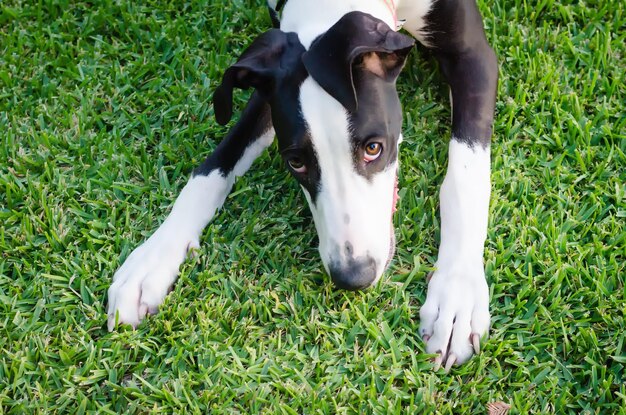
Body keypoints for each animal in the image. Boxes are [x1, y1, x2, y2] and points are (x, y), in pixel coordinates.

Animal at [106, 0, 498, 370]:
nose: (353, 277)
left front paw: (457, 293)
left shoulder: (474, 57)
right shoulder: (269, 96)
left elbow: (465, 176)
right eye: (296, 162)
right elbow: (212, 165)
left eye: (374, 148)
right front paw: (153, 259)